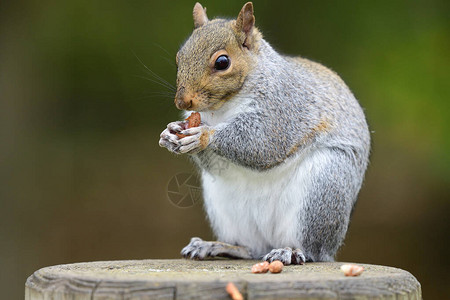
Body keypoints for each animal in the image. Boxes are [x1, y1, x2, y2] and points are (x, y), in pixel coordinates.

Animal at [160, 2, 370, 264]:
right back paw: (216, 246)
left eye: (222, 62)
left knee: (311, 249)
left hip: (324, 187)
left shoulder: (283, 107)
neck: (223, 108)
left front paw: (203, 135)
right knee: (250, 248)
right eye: (179, 58)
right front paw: (170, 133)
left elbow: (263, 143)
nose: (182, 101)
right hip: (224, 207)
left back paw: (290, 251)